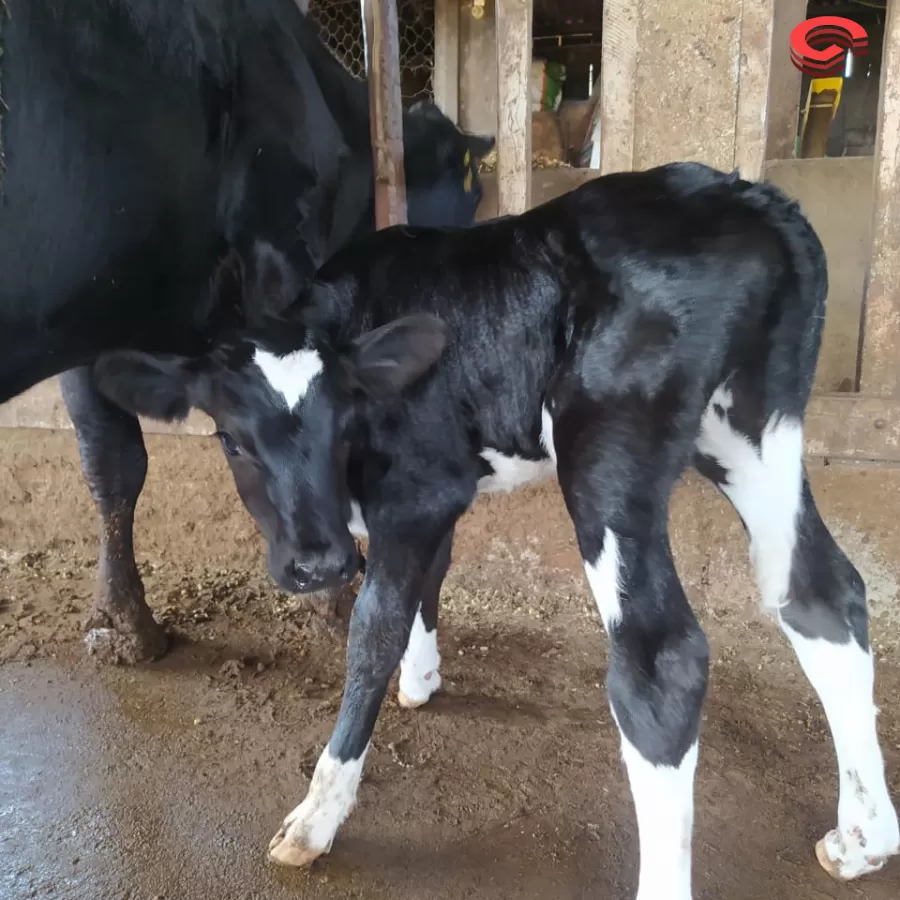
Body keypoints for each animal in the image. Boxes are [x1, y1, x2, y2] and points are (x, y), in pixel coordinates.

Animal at [0, 0, 492, 660]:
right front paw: (331, 597)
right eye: (471, 187)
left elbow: (112, 463)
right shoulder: (280, 252)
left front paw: (123, 623)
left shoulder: (92, 318)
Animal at [98, 163, 900, 900]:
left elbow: (373, 629)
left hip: (607, 458)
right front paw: (420, 680)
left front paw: (318, 814)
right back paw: (862, 836)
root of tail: (744, 194)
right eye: (231, 440)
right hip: (747, 432)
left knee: (660, 661)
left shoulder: (413, 493)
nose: (318, 564)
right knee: (821, 594)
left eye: (344, 424)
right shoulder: (439, 490)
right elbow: (429, 581)